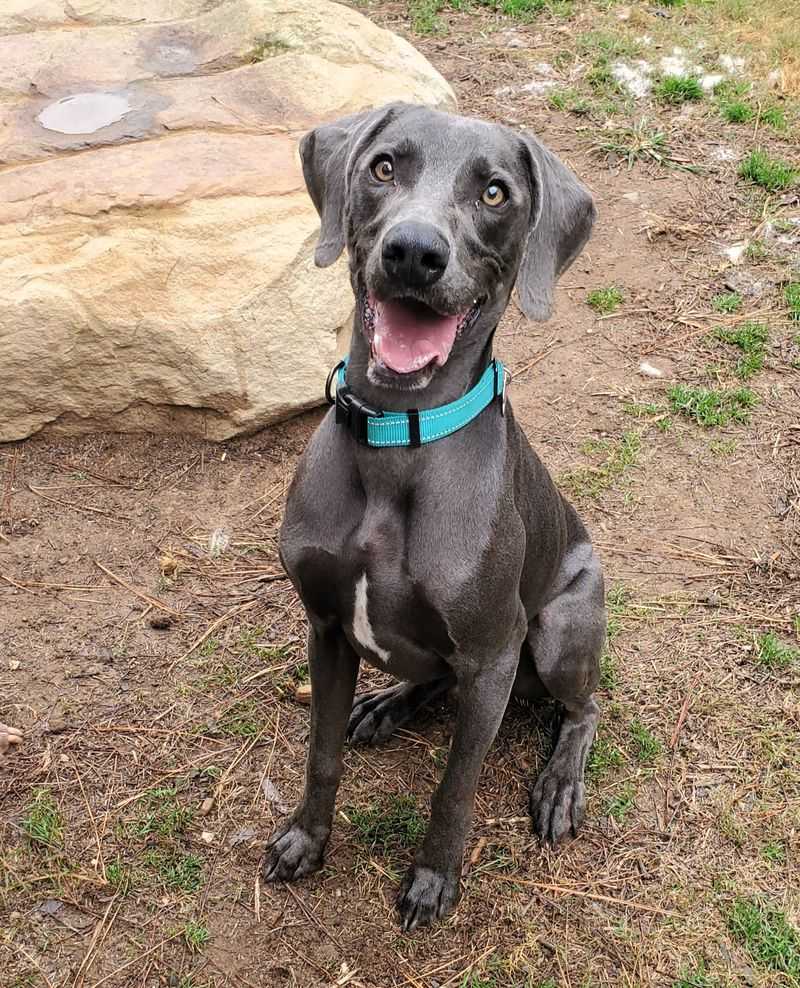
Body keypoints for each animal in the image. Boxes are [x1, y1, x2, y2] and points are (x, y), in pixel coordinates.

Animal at [262, 104, 608, 932]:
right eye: (384, 166)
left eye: (494, 192)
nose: (414, 252)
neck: (398, 439)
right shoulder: (326, 628)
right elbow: (321, 754)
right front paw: (305, 840)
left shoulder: (492, 652)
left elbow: (455, 789)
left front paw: (432, 880)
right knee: (432, 680)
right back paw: (389, 703)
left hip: (557, 631)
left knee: (585, 707)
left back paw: (560, 785)